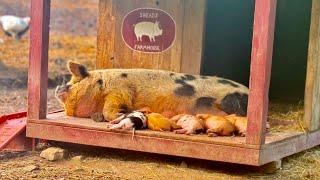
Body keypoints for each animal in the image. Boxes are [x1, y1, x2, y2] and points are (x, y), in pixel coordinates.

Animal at [55, 62, 250, 122]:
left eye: (72, 83)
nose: (57, 88)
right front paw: (98, 117)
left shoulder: (120, 90)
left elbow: (111, 107)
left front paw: (120, 114)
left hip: (230, 99)